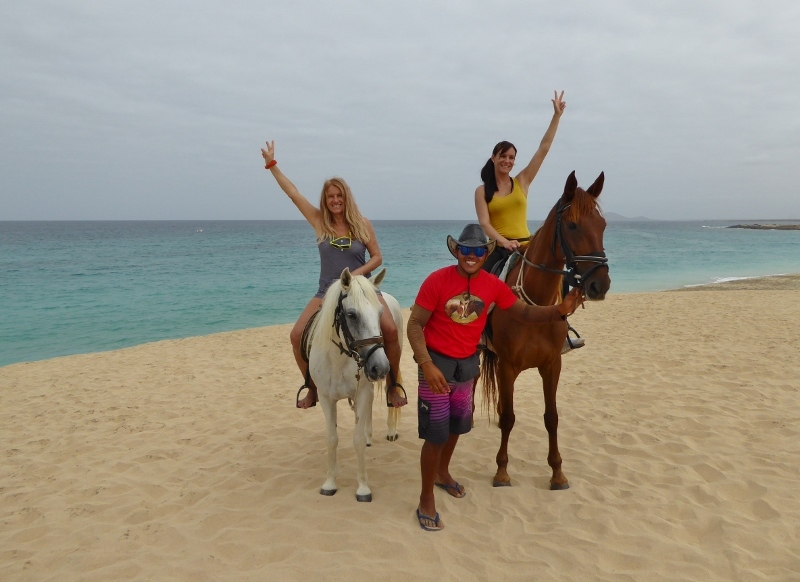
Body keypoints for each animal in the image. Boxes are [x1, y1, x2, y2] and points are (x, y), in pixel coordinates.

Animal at [308, 270, 404, 502]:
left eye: (380, 313)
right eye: (351, 315)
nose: (380, 367)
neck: (339, 359)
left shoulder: (362, 392)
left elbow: (357, 440)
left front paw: (363, 488)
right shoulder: (326, 398)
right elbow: (331, 439)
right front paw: (330, 483)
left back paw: (391, 431)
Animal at [482, 171, 608, 490]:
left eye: (603, 225)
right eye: (573, 225)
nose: (600, 285)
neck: (535, 307)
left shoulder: (552, 364)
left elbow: (552, 417)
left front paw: (557, 473)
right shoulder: (507, 366)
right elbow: (509, 417)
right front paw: (502, 472)